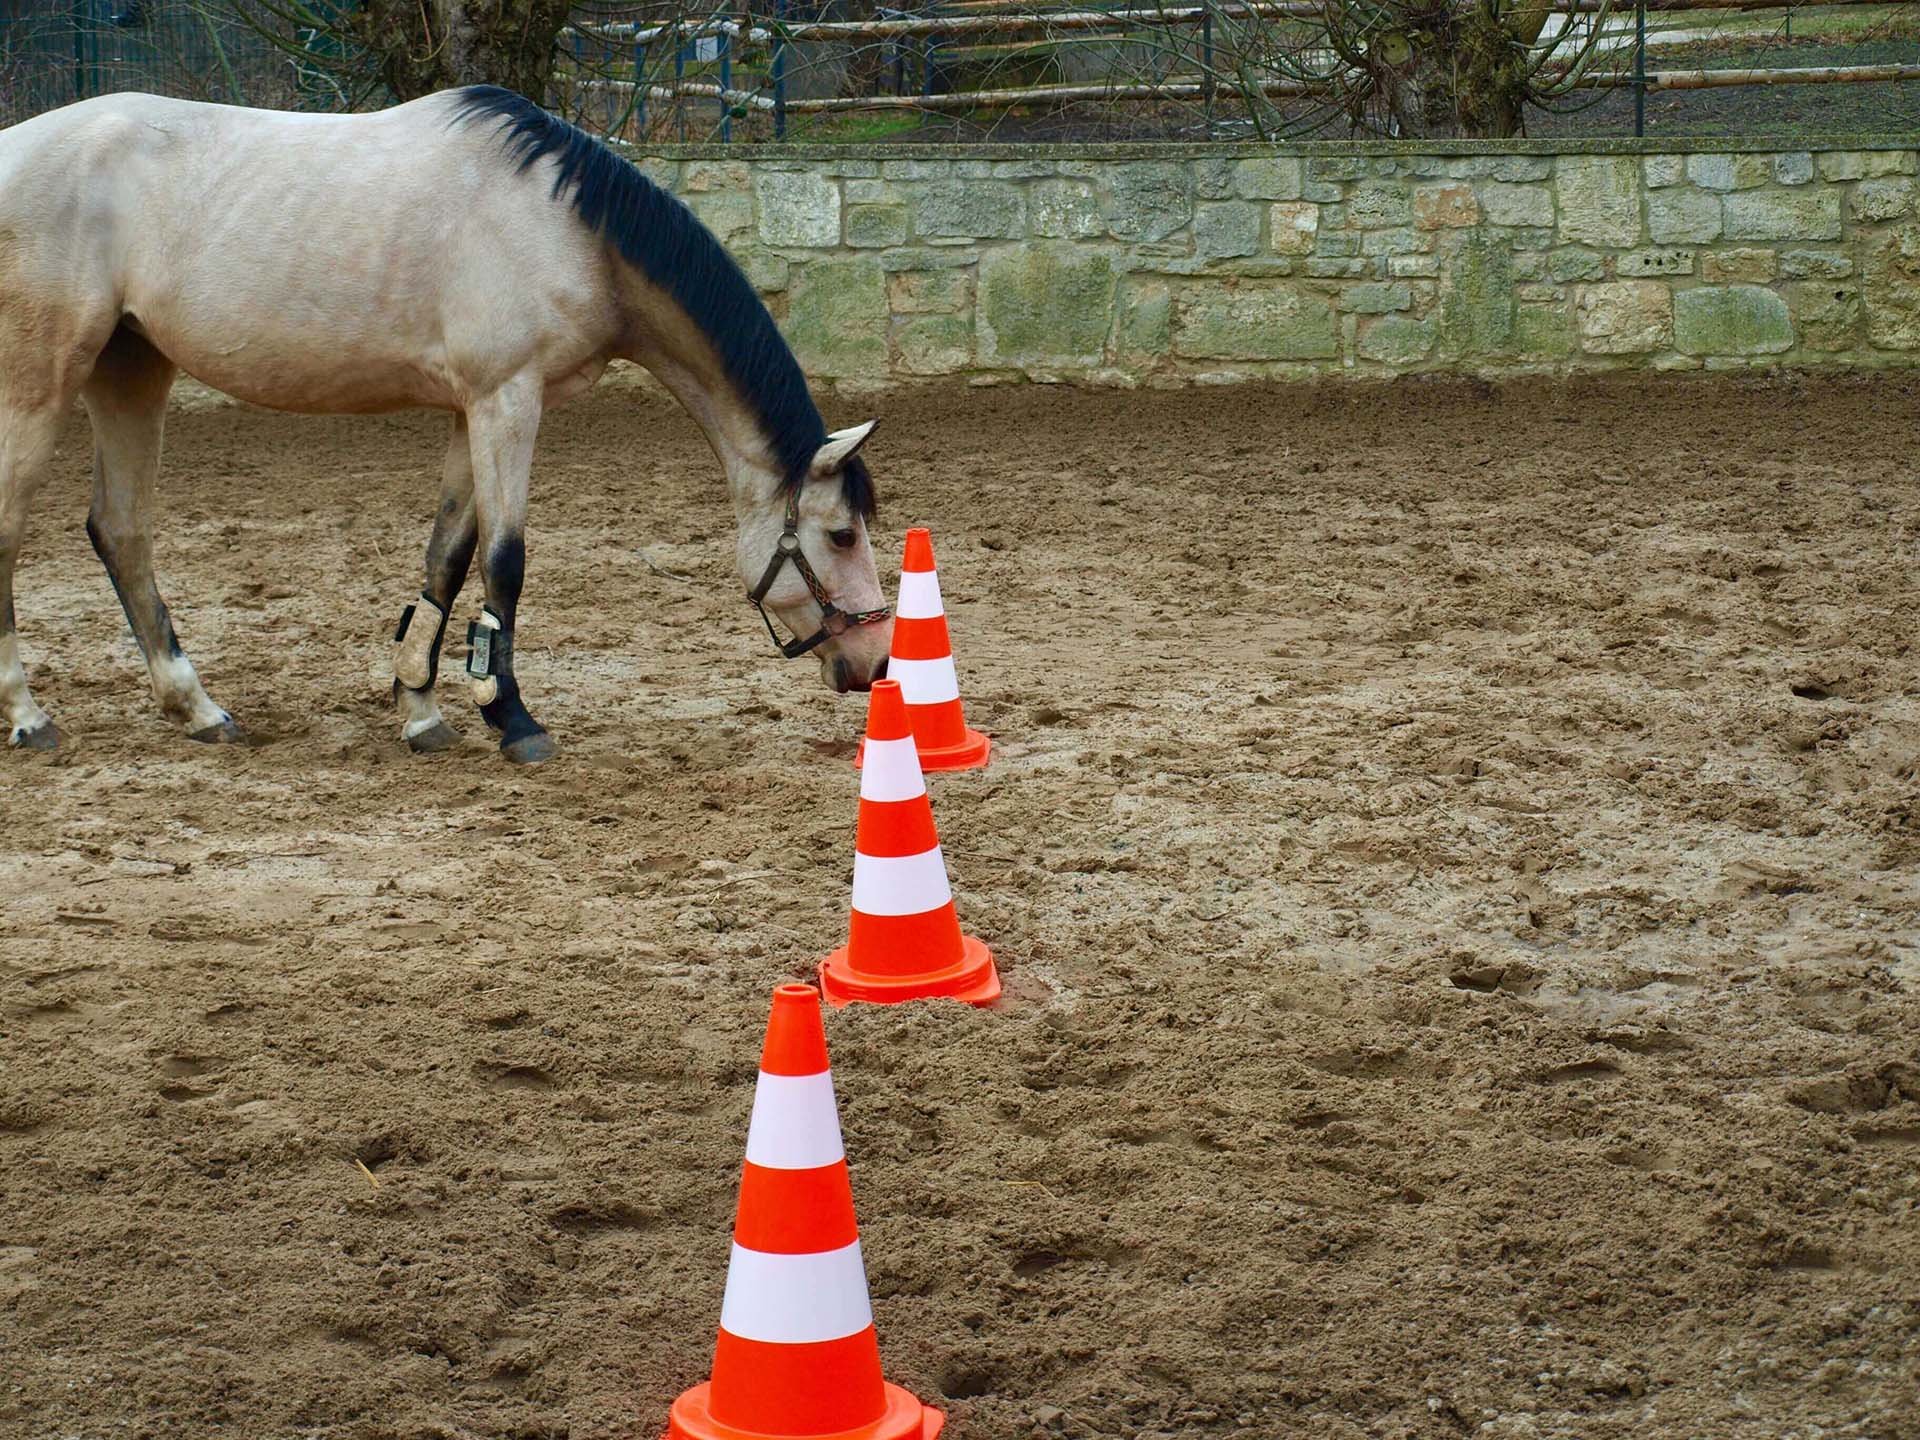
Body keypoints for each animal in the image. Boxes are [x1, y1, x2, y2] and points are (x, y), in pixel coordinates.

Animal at [0, 87, 894, 768]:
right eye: (842, 535)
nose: (877, 662)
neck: (568, 227)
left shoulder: (471, 411)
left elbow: (448, 557)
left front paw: (422, 707)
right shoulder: (508, 400)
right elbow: (505, 561)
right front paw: (514, 719)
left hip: (131, 371)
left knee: (121, 531)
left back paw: (197, 708)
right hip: (42, 381)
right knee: (14, 528)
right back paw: (30, 716)